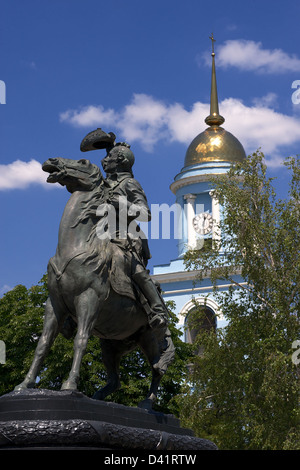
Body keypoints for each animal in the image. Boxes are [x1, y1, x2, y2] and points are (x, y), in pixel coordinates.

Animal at [14, 156, 175, 406]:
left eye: (83, 161)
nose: (51, 160)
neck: (75, 248)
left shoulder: (88, 299)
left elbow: (80, 340)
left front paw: (70, 385)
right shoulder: (54, 304)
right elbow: (43, 344)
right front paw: (25, 384)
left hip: (150, 338)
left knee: (158, 369)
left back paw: (148, 402)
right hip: (111, 344)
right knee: (116, 379)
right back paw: (99, 397)